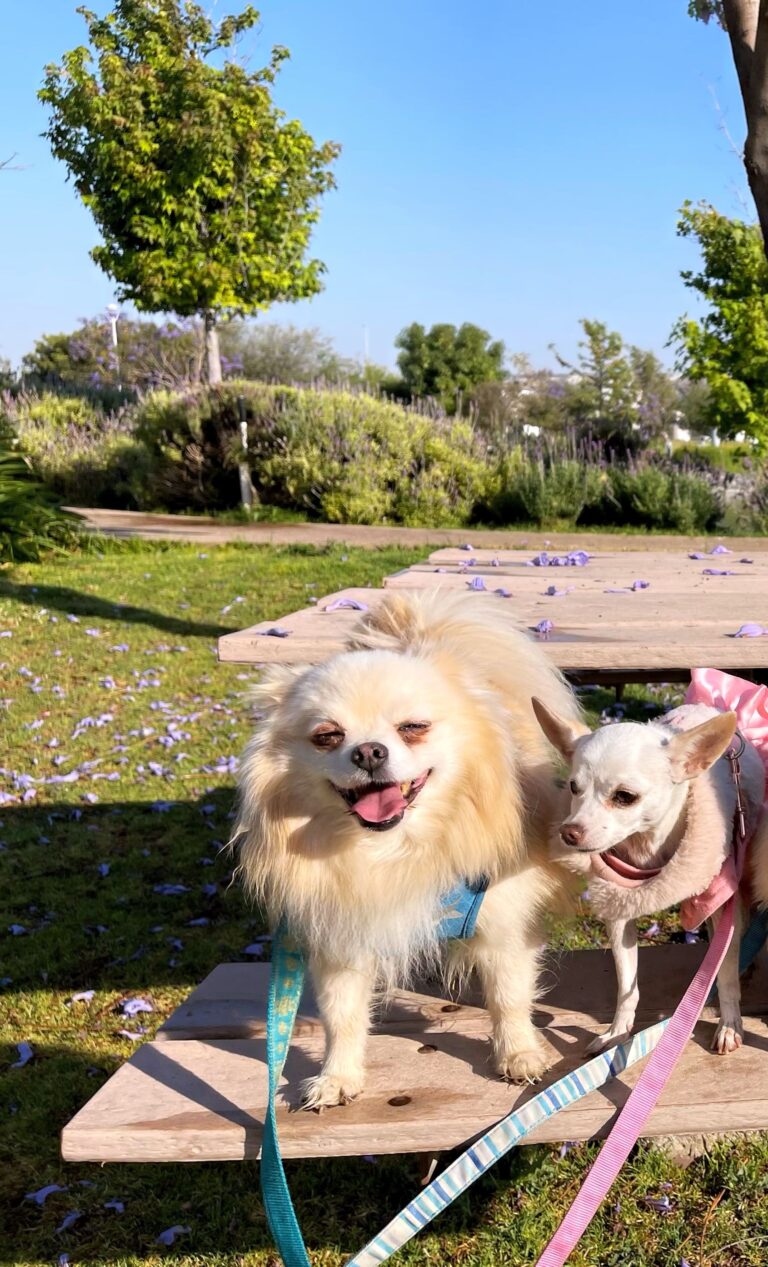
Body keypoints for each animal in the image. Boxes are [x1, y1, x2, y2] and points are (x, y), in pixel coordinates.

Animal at [234, 587, 582, 1104]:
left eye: (413, 727)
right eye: (327, 736)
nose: (368, 751)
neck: (394, 851)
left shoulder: (505, 924)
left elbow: (509, 996)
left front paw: (518, 1055)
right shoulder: (343, 932)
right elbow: (342, 1015)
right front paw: (338, 1076)